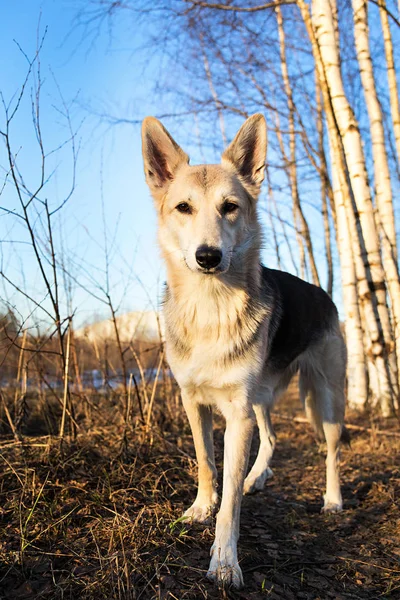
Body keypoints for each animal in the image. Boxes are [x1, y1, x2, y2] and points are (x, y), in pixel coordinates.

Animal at [141, 115, 346, 588]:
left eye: (230, 207)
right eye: (183, 208)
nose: (208, 256)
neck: (210, 309)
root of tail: (323, 293)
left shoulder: (237, 414)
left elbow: (231, 501)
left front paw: (224, 561)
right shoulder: (193, 402)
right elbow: (206, 462)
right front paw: (200, 507)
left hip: (325, 399)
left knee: (331, 450)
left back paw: (331, 498)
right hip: (261, 399)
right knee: (270, 437)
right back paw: (259, 475)